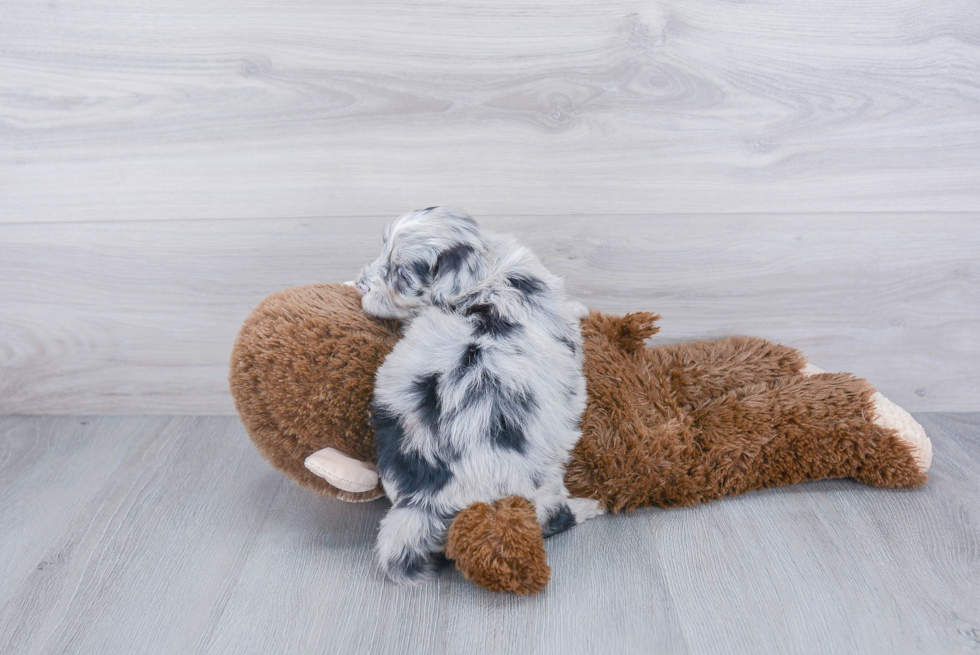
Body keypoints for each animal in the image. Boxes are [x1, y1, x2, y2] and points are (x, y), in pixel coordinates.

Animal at [358, 208, 604, 588]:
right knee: (551, 518)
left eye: (399, 272)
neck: (487, 273)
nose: (360, 282)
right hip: (537, 484)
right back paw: (590, 506)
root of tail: (423, 497)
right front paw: (581, 308)